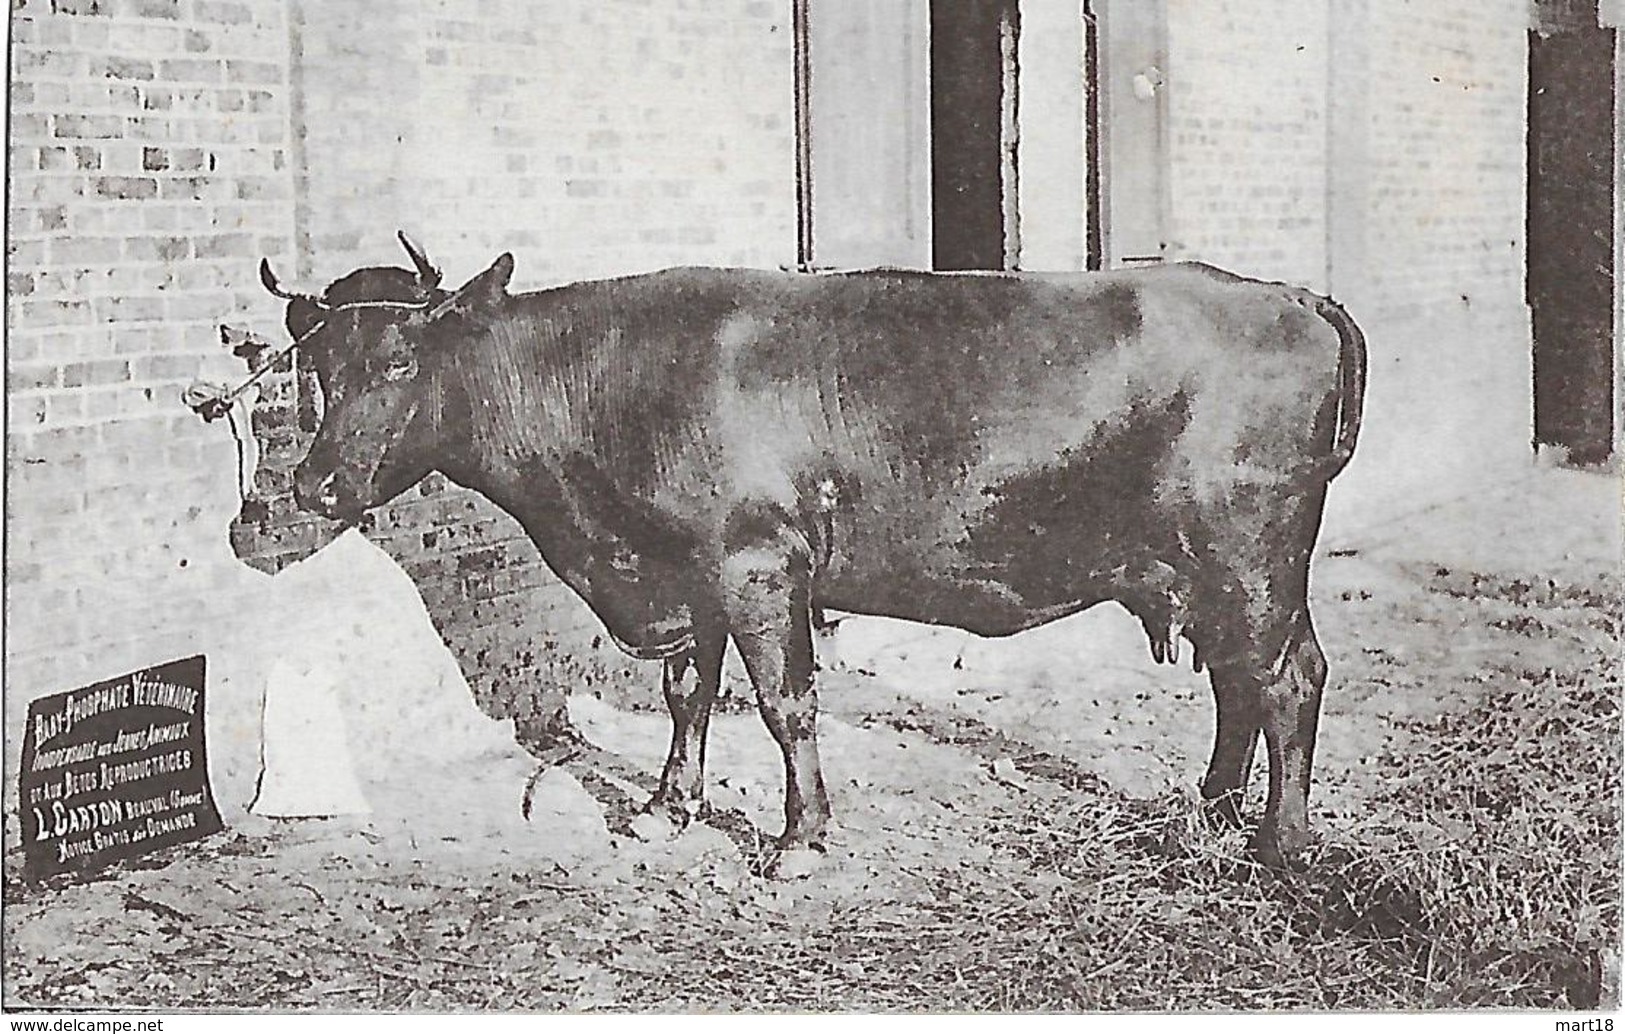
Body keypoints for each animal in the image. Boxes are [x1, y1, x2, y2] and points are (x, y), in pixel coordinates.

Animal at [273, 238, 1365, 871]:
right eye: (314, 368)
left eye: (399, 362)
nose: (314, 486)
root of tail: (1287, 295)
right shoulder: (685, 576)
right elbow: (688, 695)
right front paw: (668, 808)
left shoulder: (756, 565)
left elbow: (784, 703)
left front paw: (799, 839)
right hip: (1211, 570)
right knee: (1238, 679)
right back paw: (1212, 812)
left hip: (1250, 553)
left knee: (1286, 678)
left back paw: (1282, 842)